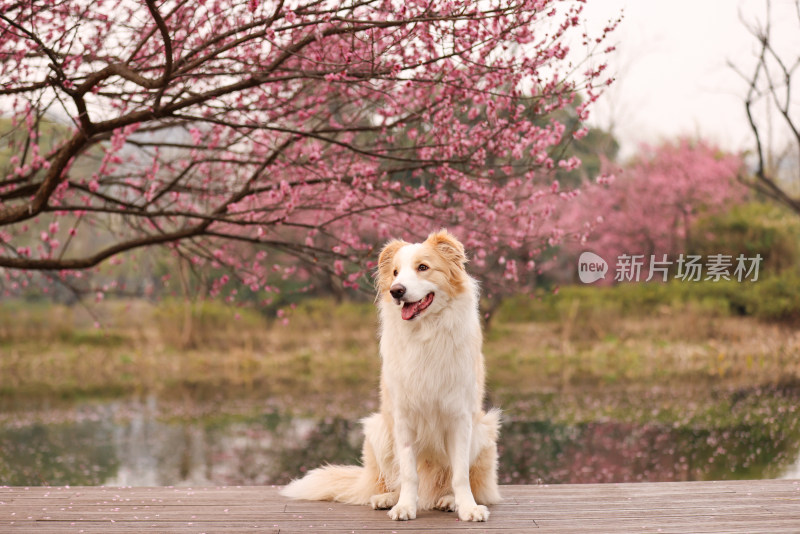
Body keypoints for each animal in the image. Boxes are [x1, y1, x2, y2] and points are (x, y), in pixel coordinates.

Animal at [282, 229, 500, 524]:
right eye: (395, 273)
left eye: (423, 267)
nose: (396, 291)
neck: (425, 333)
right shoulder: (403, 418)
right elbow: (408, 473)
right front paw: (404, 506)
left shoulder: (460, 419)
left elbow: (460, 475)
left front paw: (468, 508)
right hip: (378, 430)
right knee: (393, 478)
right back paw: (387, 498)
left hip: (483, 430)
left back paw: (447, 500)